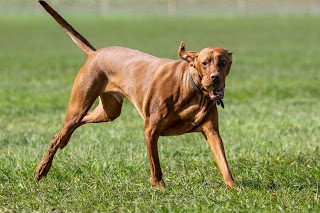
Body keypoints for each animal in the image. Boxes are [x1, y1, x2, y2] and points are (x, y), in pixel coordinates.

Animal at [35, 0, 235, 190]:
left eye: (223, 62)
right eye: (204, 63)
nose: (215, 78)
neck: (192, 90)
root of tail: (95, 53)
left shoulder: (212, 132)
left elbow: (224, 165)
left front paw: (234, 188)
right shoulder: (150, 130)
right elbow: (155, 165)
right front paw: (159, 186)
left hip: (108, 112)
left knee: (75, 125)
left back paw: (63, 141)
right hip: (79, 106)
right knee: (62, 132)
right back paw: (42, 169)